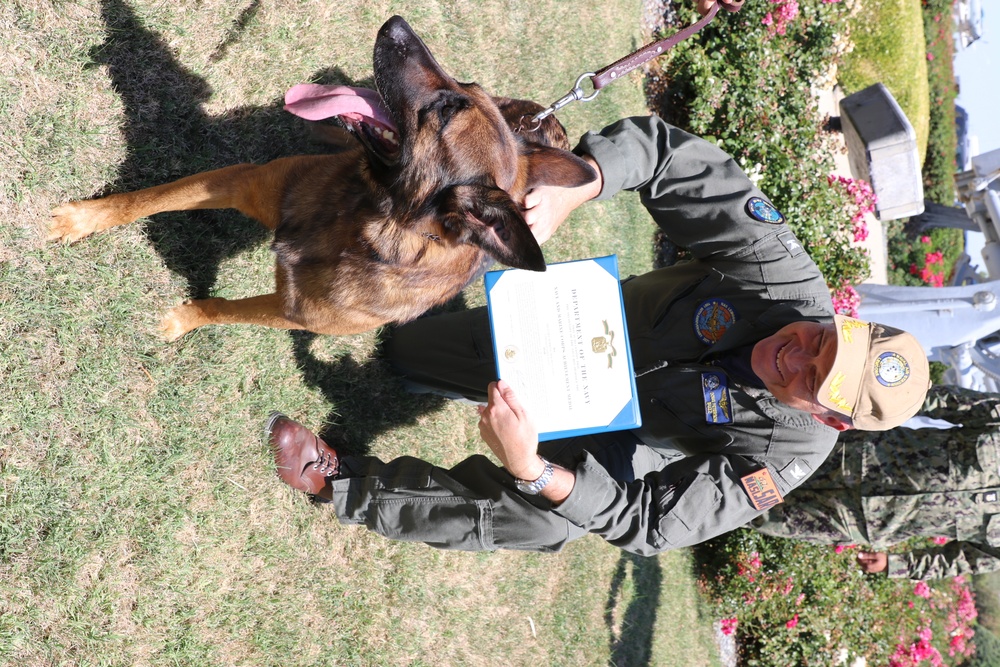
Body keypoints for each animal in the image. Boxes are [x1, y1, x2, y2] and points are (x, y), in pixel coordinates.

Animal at [50, 15, 592, 340]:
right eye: (468, 85)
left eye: (447, 108)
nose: (396, 22)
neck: (367, 221)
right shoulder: (238, 181)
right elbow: (143, 199)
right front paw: (82, 219)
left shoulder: (290, 312)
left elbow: (219, 306)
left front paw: (183, 320)